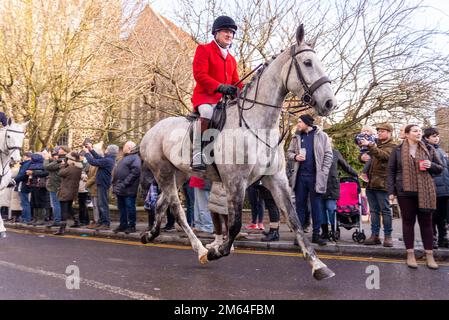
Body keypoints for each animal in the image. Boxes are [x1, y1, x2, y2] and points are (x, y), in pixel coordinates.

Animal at [140, 25, 336, 280]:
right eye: (308, 62)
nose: (330, 103)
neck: (258, 125)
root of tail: (151, 131)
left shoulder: (276, 179)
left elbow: (294, 219)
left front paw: (318, 265)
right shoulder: (235, 181)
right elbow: (234, 226)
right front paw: (217, 251)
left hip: (179, 173)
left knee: (162, 203)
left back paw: (150, 234)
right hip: (162, 171)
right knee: (176, 208)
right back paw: (201, 250)